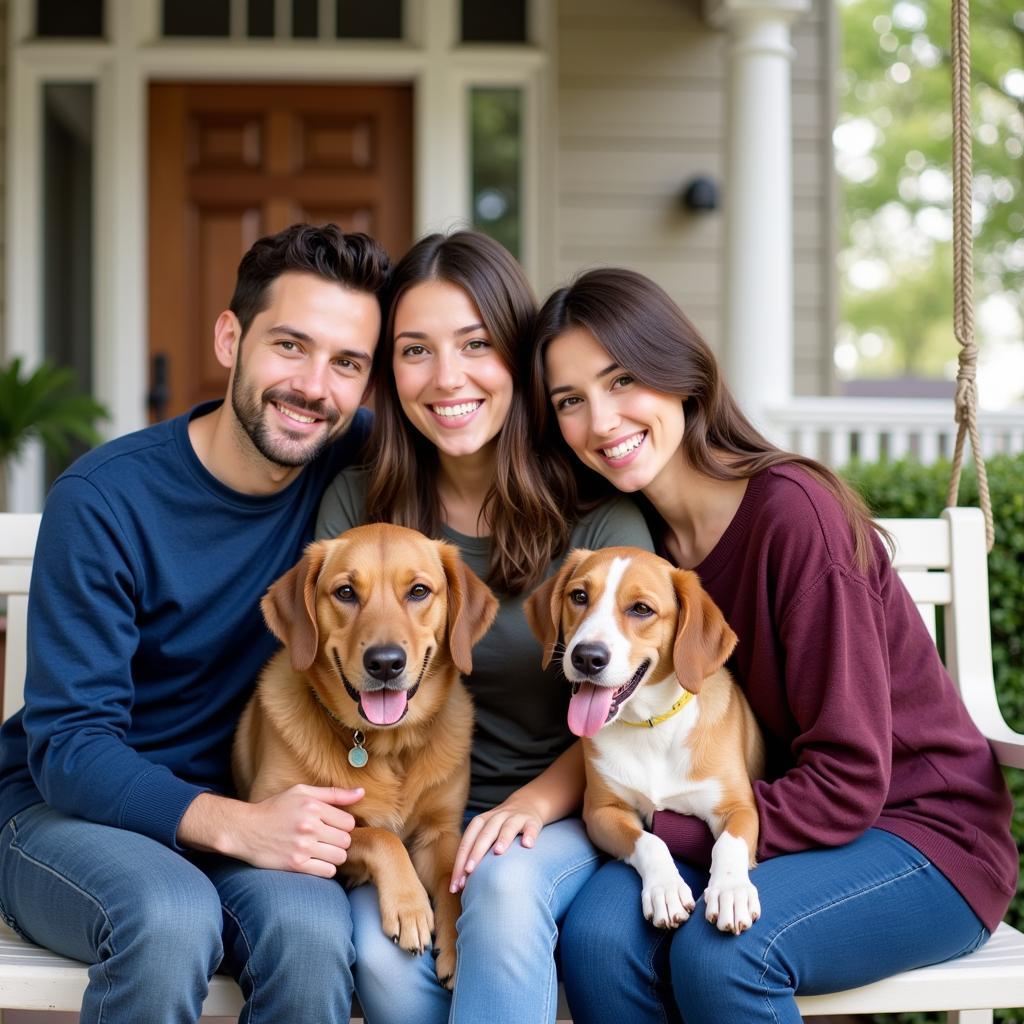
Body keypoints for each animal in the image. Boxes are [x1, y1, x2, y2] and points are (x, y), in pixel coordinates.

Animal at [235, 524, 499, 987]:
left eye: (418, 591)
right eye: (345, 592)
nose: (385, 662)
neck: (385, 745)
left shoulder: (441, 832)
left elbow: (452, 881)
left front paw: (455, 939)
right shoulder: (276, 809)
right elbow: (379, 835)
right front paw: (410, 905)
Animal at [528, 548, 761, 933]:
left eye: (641, 609)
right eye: (579, 596)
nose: (586, 657)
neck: (651, 727)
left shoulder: (740, 807)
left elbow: (729, 844)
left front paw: (731, 889)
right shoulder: (602, 811)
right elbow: (650, 841)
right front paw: (666, 888)